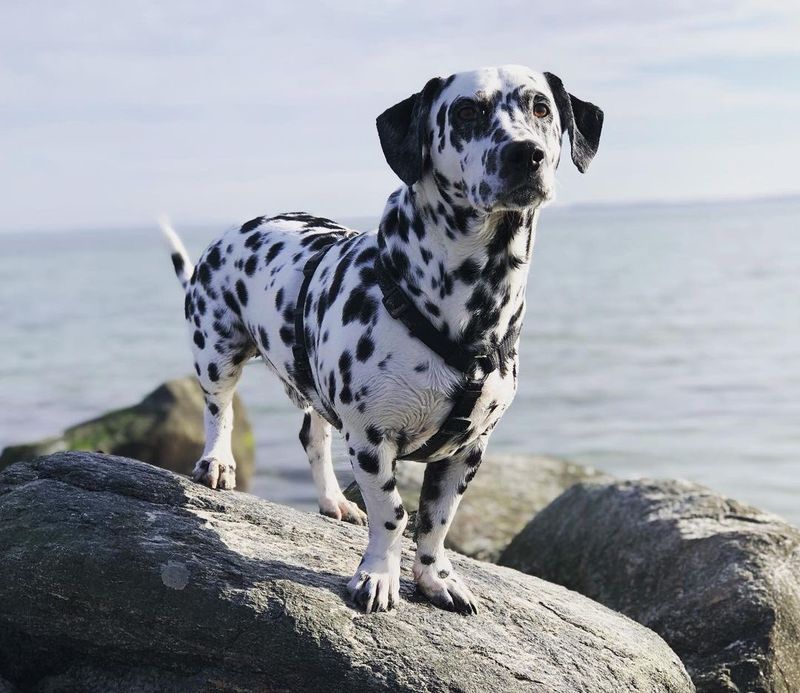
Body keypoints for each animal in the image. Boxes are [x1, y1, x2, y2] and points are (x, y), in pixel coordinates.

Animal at [161, 65, 600, 612]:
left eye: (540, 107)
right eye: (466, 111)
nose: (526, 154)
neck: (471, 310)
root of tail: (237, 230)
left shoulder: (467, 451)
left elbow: (436, 522)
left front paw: (436, 578)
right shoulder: (372, 439)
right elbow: (392, 513)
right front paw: (378, 576)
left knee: (313, 437)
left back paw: (332, 499)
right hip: (216, 350)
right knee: (219, 409)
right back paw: (217, 462)